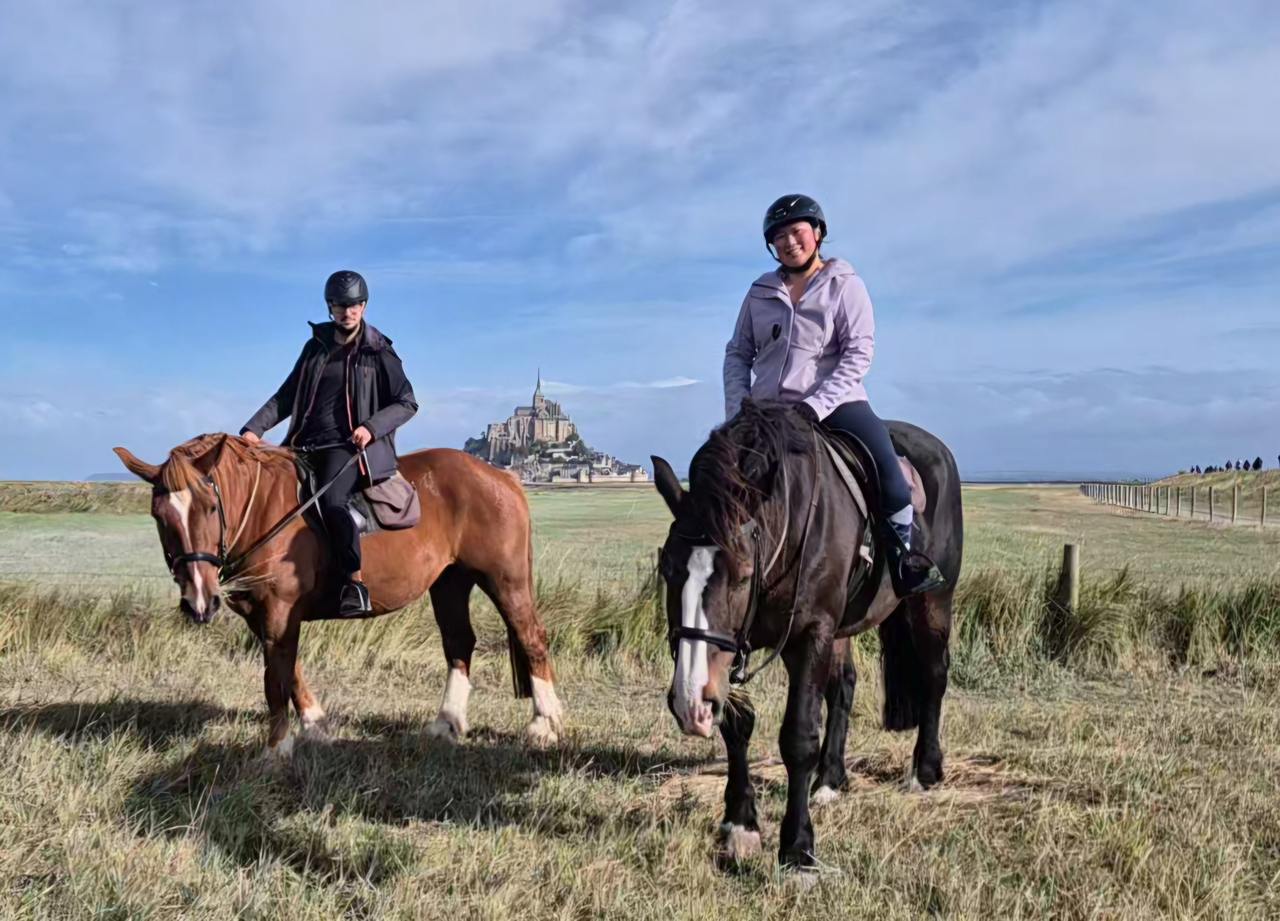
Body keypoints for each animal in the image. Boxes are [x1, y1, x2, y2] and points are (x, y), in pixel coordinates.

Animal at [114, 432, 563, 758]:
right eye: (159, 516)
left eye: (210, 507)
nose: (199, 602)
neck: (263, 511)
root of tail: (502, 477)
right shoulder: (265, 617)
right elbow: (289, 670)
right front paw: (316, 727)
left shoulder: (279, 611)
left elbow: (274, 678)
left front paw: (276, 749)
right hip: (450, 581)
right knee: (458, 642)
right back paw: (446, 723)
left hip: (504, 579)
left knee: (531, 637)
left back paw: (544, 724)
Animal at [650, 400, 963, 872]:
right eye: (668, 568)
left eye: (742, 574)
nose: (690, 703)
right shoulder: (742, 643)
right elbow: (737, 724)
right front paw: (740, 824)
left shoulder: (810, 633)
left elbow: (798, 737)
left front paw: (797, 848)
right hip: (843, 627)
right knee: (844, 686)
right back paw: (831, 779)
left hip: (932, 603)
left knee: (933, 675)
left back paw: (925, 770)